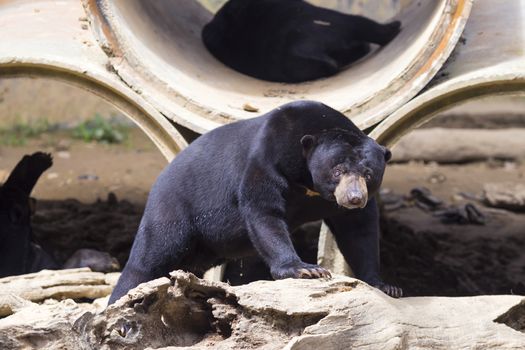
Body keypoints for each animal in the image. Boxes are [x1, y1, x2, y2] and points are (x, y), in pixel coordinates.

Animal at [108, 100, 400, 304]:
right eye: (338, 170)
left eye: (368, 174)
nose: (354, 198)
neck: (307, 181)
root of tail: (159, 179)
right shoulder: (267, 159)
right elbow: (264, 211)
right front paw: (307, 270)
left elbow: (358, 230)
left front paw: (386, 285)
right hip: (174, 208)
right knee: (149, 259)